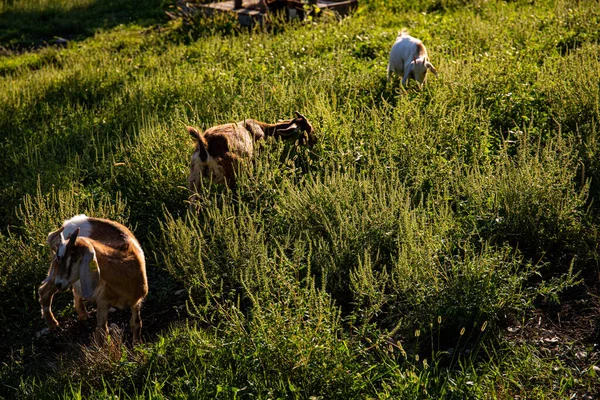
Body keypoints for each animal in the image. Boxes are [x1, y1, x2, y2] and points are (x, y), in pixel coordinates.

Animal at [38, 216, 148, 344]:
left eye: (74, 258)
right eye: (60, 257)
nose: (59, 284)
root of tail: (66, 225)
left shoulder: (136, 301)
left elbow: (136, 324)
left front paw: (137, 345)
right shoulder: (103, 301)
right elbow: (102, 332)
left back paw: (82, 314)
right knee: (44, 291)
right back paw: (53, 325)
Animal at [188, 110, 318, 191]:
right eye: (308, 128)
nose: (315, 140)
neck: (263, 129)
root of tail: (205, 147)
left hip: (195, 177)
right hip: (233, 172)